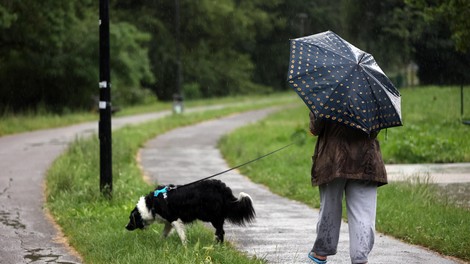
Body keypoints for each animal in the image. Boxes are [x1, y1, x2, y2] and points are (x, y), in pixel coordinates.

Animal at [125, 178, 255, 244]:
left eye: (131, 219)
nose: (126, 227)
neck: (150, 205)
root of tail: (222, 188)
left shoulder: (175, 219)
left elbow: (182, 235)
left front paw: (185, 247)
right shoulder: (169, 222)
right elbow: (164, 233)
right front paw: (160, 242)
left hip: (212, 216)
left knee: (220, 232)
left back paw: (216, 245)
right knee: (220, 231)